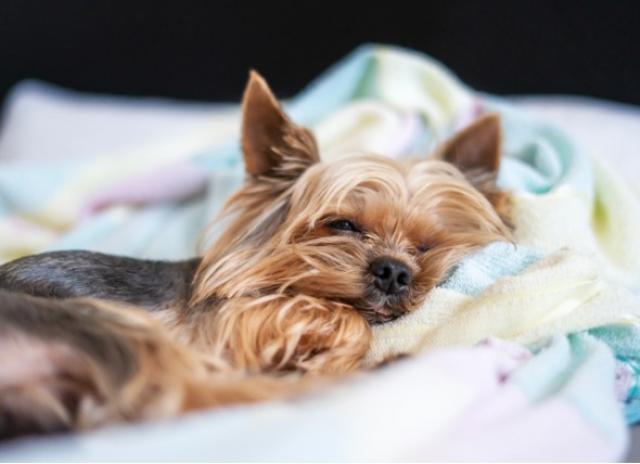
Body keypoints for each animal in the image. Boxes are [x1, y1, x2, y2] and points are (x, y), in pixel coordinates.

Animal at [0, 71, 511, 439]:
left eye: (425, 246)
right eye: (342, 225)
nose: (394, 272)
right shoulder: (231, 320)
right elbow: (348, 320)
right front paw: (333, 352)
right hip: (111, 327)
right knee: (190, 398)